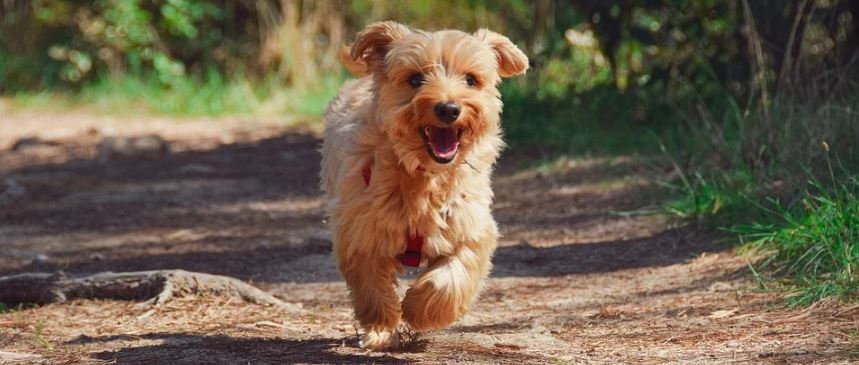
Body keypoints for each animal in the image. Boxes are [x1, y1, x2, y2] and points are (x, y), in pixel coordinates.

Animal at [320, 20, 528, 350]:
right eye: (415, 78)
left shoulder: (471, 227)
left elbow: (452, 276)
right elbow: (372, 286)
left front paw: (419, 309)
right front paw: (381, 326)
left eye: (471, 79)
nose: (448, 109)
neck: (425, 176)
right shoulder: (360, 231)